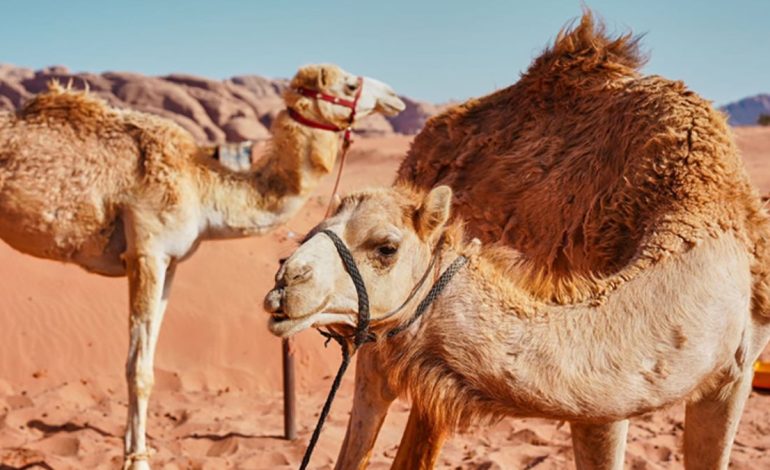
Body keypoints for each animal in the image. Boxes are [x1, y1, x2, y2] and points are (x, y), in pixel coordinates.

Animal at [0, 64, 404, 470]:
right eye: (349, 85)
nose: (394, 97)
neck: (202, 189)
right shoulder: (147, 250)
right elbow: (139, 367)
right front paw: (137, 459)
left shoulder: (171, 262)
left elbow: (148, 355)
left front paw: (136, 448)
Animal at [264, 15, 770, 470]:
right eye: (310, 232)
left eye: (385, 247)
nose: (285, 283)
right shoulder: (600, 402)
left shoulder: (734, 377)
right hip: (377, 351)